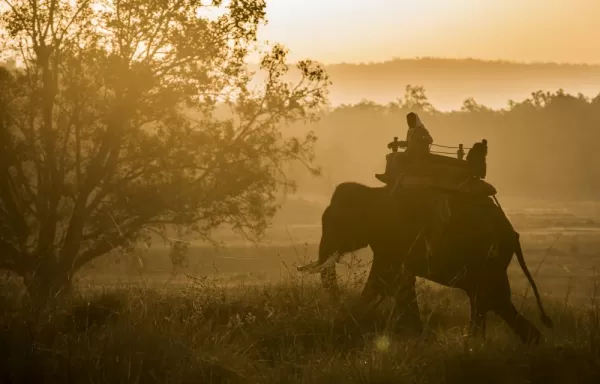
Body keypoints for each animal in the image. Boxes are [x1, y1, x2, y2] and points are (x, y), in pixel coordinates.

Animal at [298, 182, 556, 344]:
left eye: (336, 224)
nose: (338, 309)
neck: (372, 193)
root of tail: (514, 234)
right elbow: (399, 283)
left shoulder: (394, 236)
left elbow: (387, 281)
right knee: (490, 300)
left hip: (489, 258)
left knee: (490, 298)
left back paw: (477, 343)